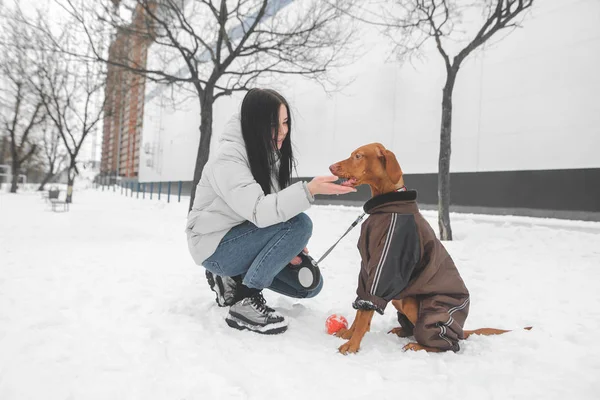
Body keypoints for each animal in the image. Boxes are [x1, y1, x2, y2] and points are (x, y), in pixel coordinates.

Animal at [328, 143, 528, 354]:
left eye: (358, 156)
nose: (330, 167)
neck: (387, 205)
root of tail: (461, 328)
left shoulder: (385, 266)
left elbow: (366, 310)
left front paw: (352, 345)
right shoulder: (367, 267)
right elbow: (361, 308)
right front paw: (349, 334)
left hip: (420, 308)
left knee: (450, 345)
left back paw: (417, 345)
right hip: (401, 298)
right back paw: (402, 330)